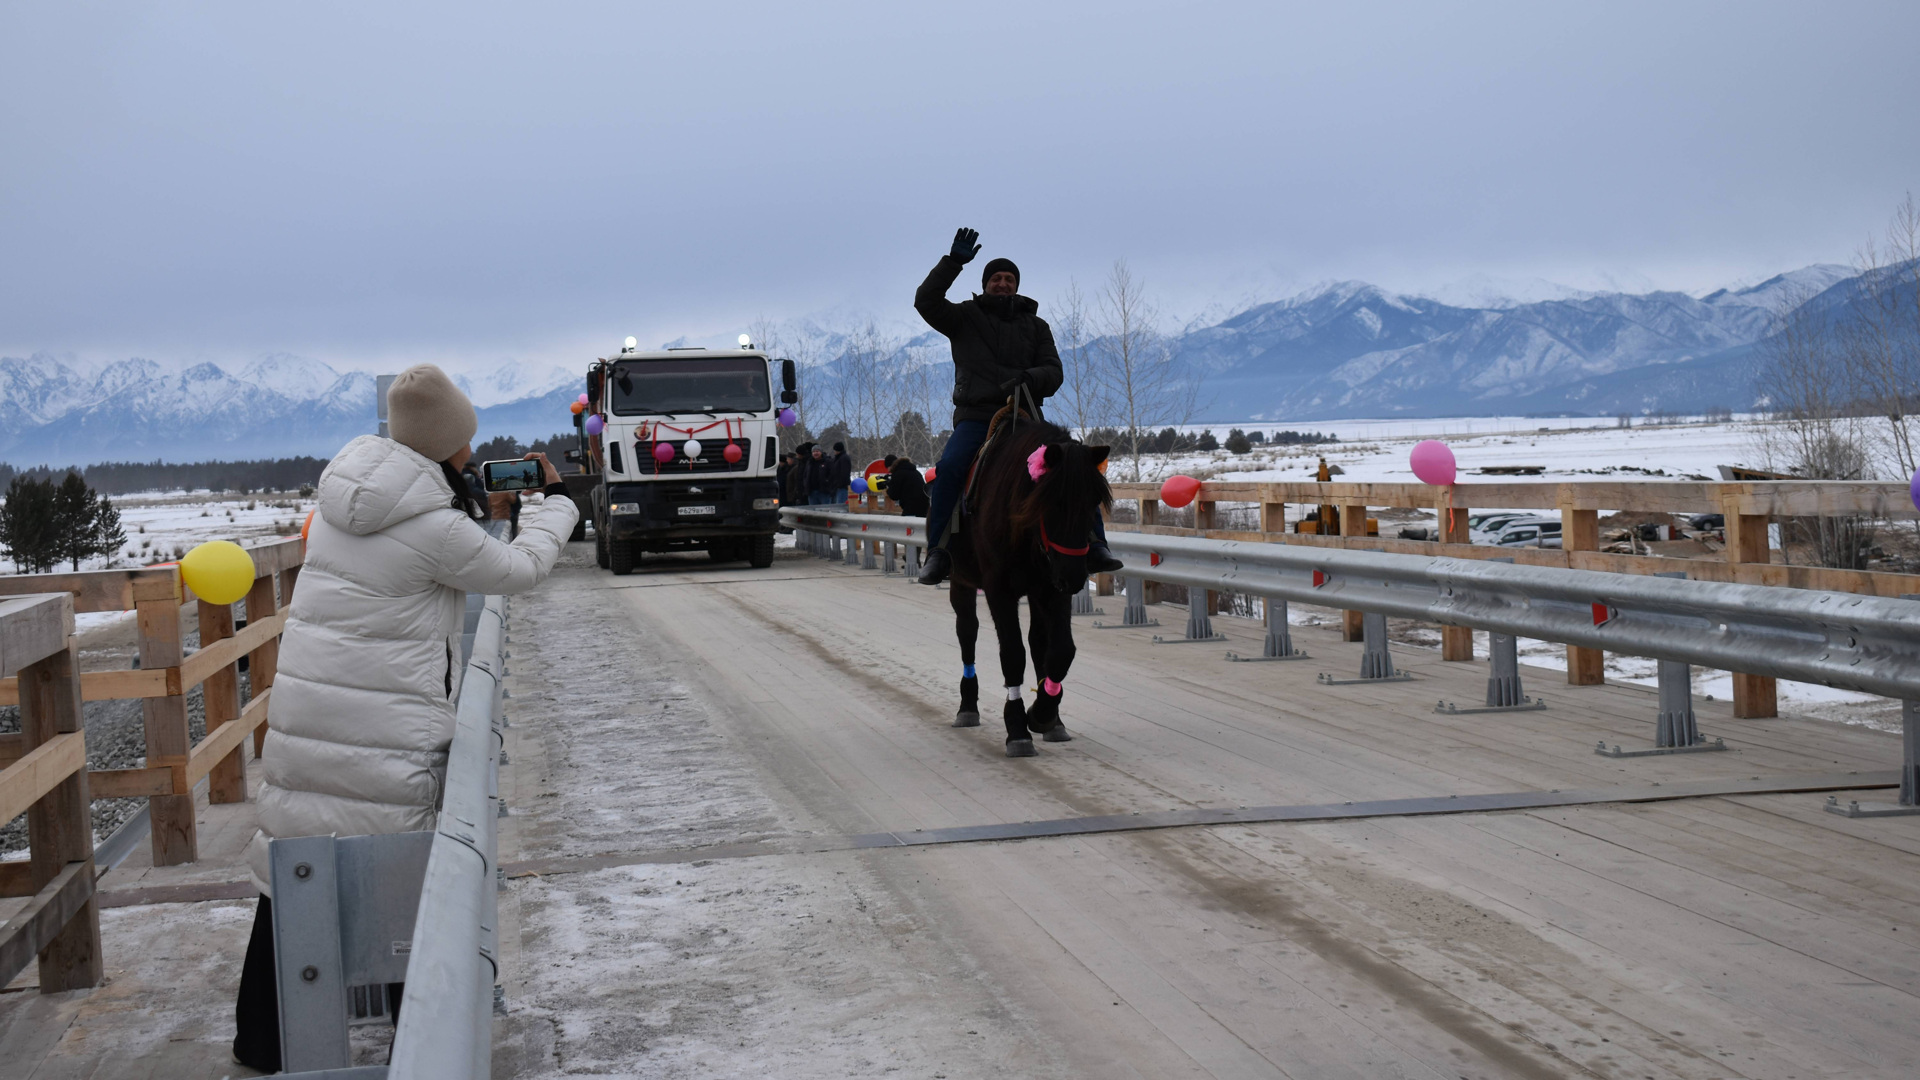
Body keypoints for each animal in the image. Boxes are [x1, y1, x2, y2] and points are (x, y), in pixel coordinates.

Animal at [944, 417, 1113, 753]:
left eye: (1093, 501)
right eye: (1054, 502)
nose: (1075, 576)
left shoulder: (1052, 588)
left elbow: (1060, 650)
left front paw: (1044, 712)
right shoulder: (998, 590)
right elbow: (1012, 653)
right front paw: (1017, 727)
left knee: (1038, 642)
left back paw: (1054, 720)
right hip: (961, 581)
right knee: (967, 631)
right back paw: (967, 706)